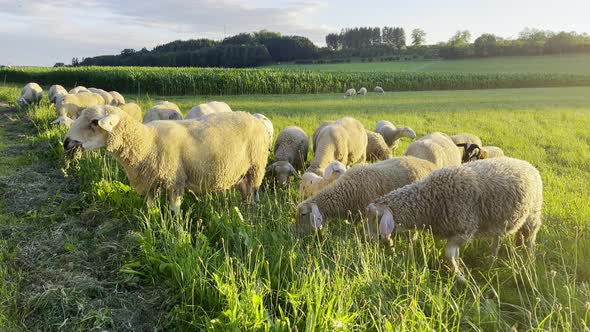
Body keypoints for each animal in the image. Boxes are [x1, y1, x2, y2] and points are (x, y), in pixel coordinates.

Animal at [63, 106, 272, 215]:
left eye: (94, 122)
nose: (65, 142)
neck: (147, 142)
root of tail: (254, 117)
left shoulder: (175, 181)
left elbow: (175, 209)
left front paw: (177, 231)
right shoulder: (151, 182)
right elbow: (151, 208)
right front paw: (152, 223)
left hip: (256, 167)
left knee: (253, 193)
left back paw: (252, 215)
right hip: (242, 173)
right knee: (246, 193)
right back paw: (245, 211)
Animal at [370, 158, 544, 280]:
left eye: (375, 219)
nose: (369, 241)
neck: (431, 199)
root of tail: (528, 165)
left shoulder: (464, 230)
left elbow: (448, 253)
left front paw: (461, 277)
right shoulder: (456, 233)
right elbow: (455, 254)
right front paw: (459, 270)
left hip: (532, 215)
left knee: (531, 239)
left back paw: (529, 260)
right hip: (499, 220)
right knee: (497, 239)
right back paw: (491, 261)